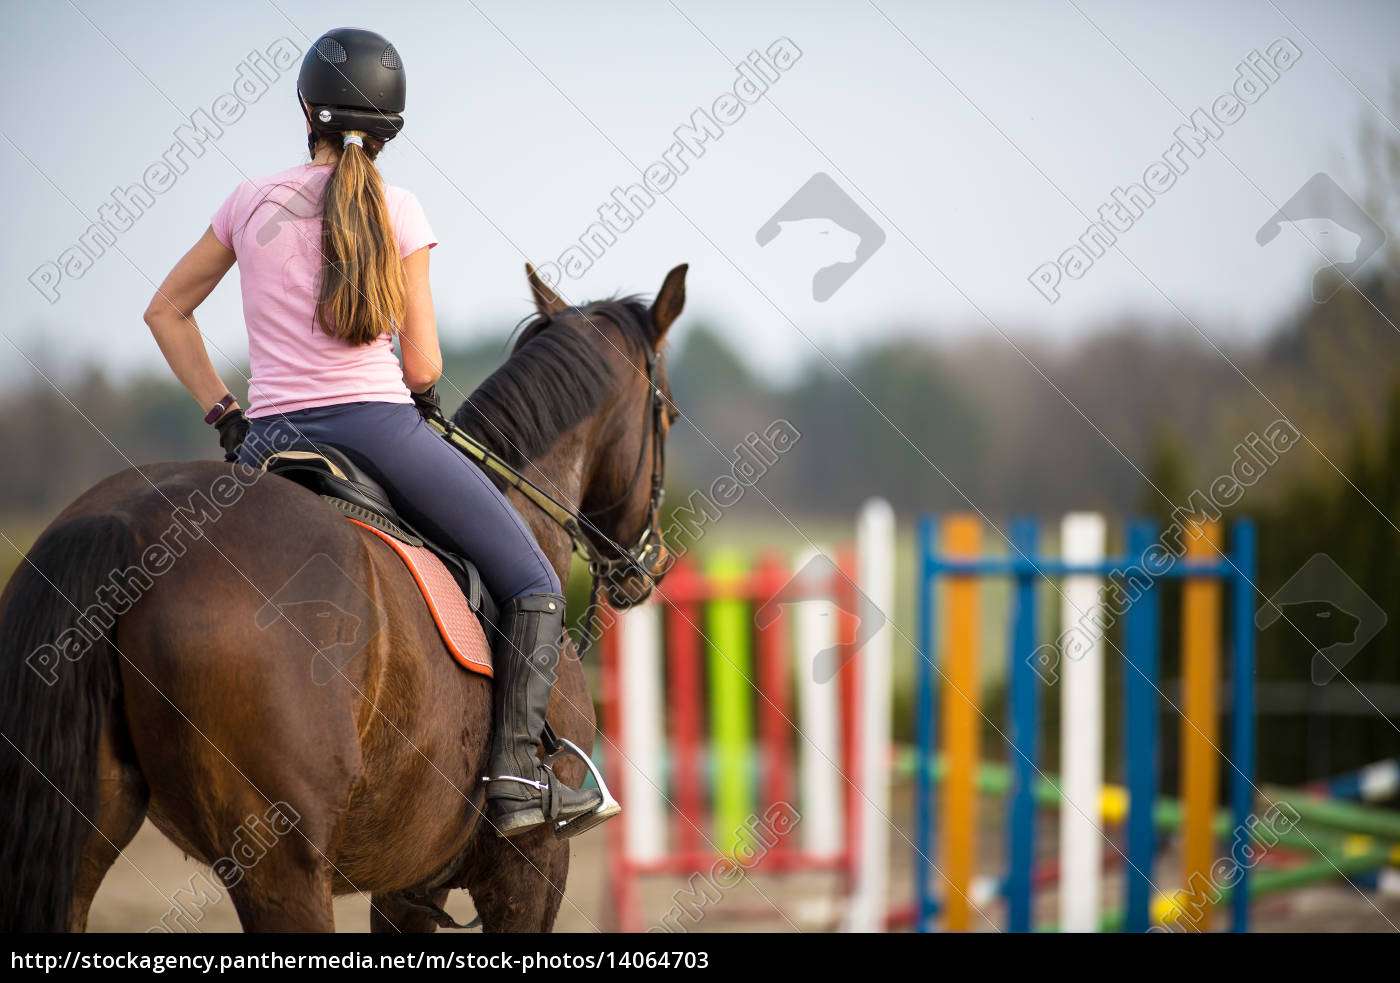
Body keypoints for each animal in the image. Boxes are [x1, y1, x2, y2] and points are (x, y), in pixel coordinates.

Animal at [0, 260, 683, 929]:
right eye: (669, 414)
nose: (648, 565)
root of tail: (129, 523)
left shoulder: (405, 887)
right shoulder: (532, 869)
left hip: (87, 837)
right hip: (281, 859)